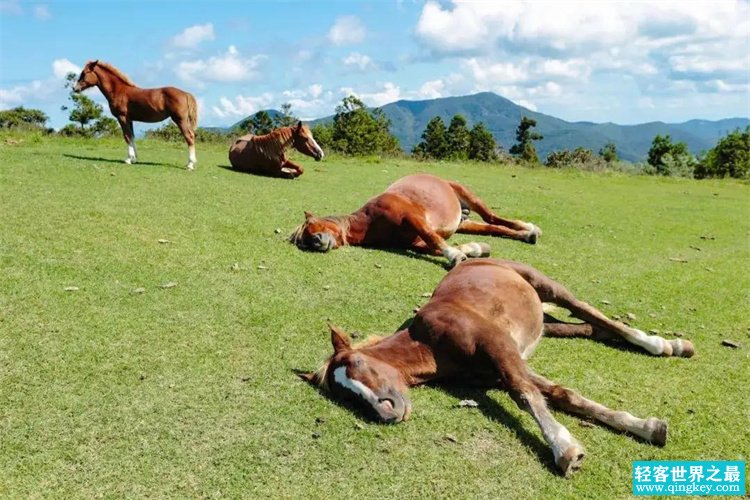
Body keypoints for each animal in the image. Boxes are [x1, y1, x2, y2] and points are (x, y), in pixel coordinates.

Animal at [290, 173, 544, 268]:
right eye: (303, 242)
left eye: (311, 226)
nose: (314, 241)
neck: (370, 221)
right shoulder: (413, 242)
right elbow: (433, 246)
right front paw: (474, 249)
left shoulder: (414, 219)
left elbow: (433, 239)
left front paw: (455, 256)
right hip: (464, 223)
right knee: (494, 227)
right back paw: (526, 234)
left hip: (469, 196)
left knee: (493, 217)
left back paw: (529, 228)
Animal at [302, 258, 700, 476]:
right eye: (345, 396)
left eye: (357, 362)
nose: (387, 412)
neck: (430, 342)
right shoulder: (498, 367)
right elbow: (560, 394)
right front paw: (647, 427)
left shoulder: (499, 349)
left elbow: (525, 394)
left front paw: (566, 451)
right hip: (543, 320)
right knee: (588, 327)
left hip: (548, 286)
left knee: (594, 314)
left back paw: (663, 345)